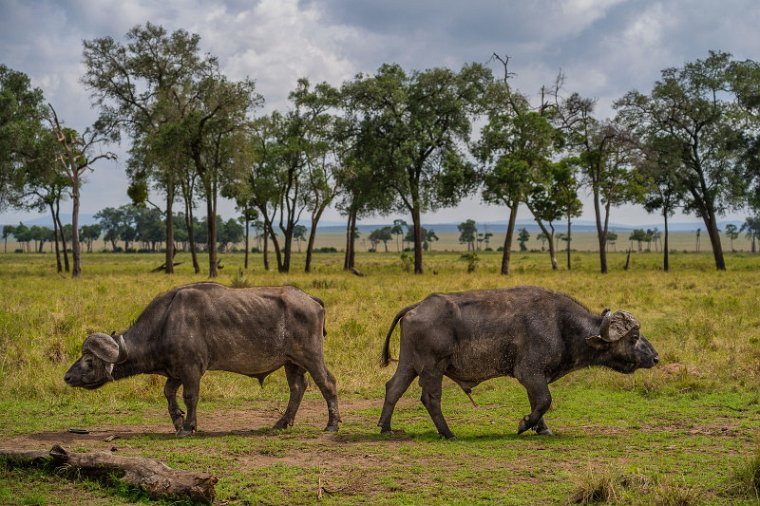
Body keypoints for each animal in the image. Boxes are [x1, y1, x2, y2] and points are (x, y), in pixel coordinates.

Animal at [65, 280, 338, 434]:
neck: (165, 322)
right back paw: (282, 423)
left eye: (89, 361)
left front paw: (188, 427)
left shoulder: (191, 370)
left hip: (310, 356)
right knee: (298, 387)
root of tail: (310, 299)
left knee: (327, 383)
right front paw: (177, 421)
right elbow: (168, 393)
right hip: (291, 362)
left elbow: (190, 397)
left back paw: (332, 424)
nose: (67, 377)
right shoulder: (175, 371)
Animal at [380, 284, 660, 438]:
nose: (655, 357)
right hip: (432, 368)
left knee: (393, 387)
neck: (561, 324)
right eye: (634, 336)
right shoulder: (529, 372)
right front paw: (525, 424)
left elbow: (537, 401)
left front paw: (541, 428)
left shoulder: (535, 377)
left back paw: (385, 427)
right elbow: (545, 400)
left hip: (409, 364)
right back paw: (448, 433)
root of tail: (417, 307)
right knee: (430, 398)